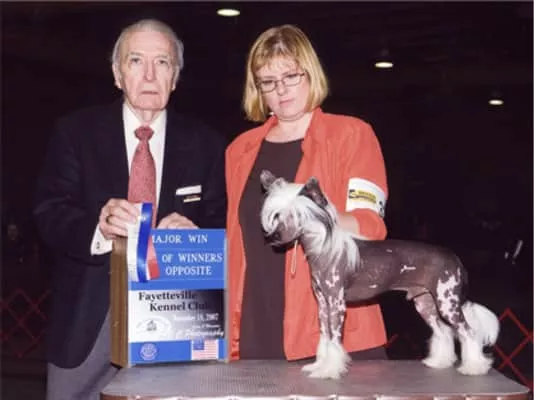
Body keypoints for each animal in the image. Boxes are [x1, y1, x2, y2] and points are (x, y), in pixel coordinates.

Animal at [259, 170, 500, 379]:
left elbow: (335, 340)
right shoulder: (323, 304)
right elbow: (325, 338)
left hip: (447, 302)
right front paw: (319, 366)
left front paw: (330, 370)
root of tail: (454, 257)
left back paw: (474, 367)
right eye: (278, 215)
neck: (324, 248)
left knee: (468, 332)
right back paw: (439, 362)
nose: (274, 236)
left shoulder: (336, 304)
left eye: (298, 215)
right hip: (425, 303)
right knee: (443, 332)